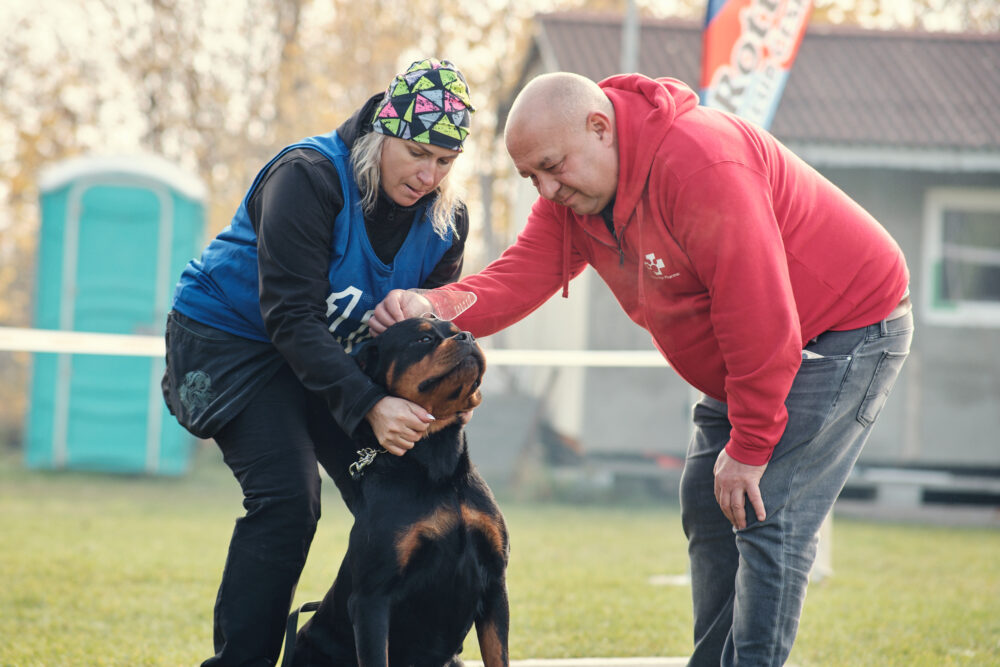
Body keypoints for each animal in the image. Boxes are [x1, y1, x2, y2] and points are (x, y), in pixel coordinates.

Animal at [290, 316, 510, 667]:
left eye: (458, 330)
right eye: (423, 339)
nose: (468, 337)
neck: (438, 466)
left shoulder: (494, 582)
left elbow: (498, 655)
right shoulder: (372, 598)